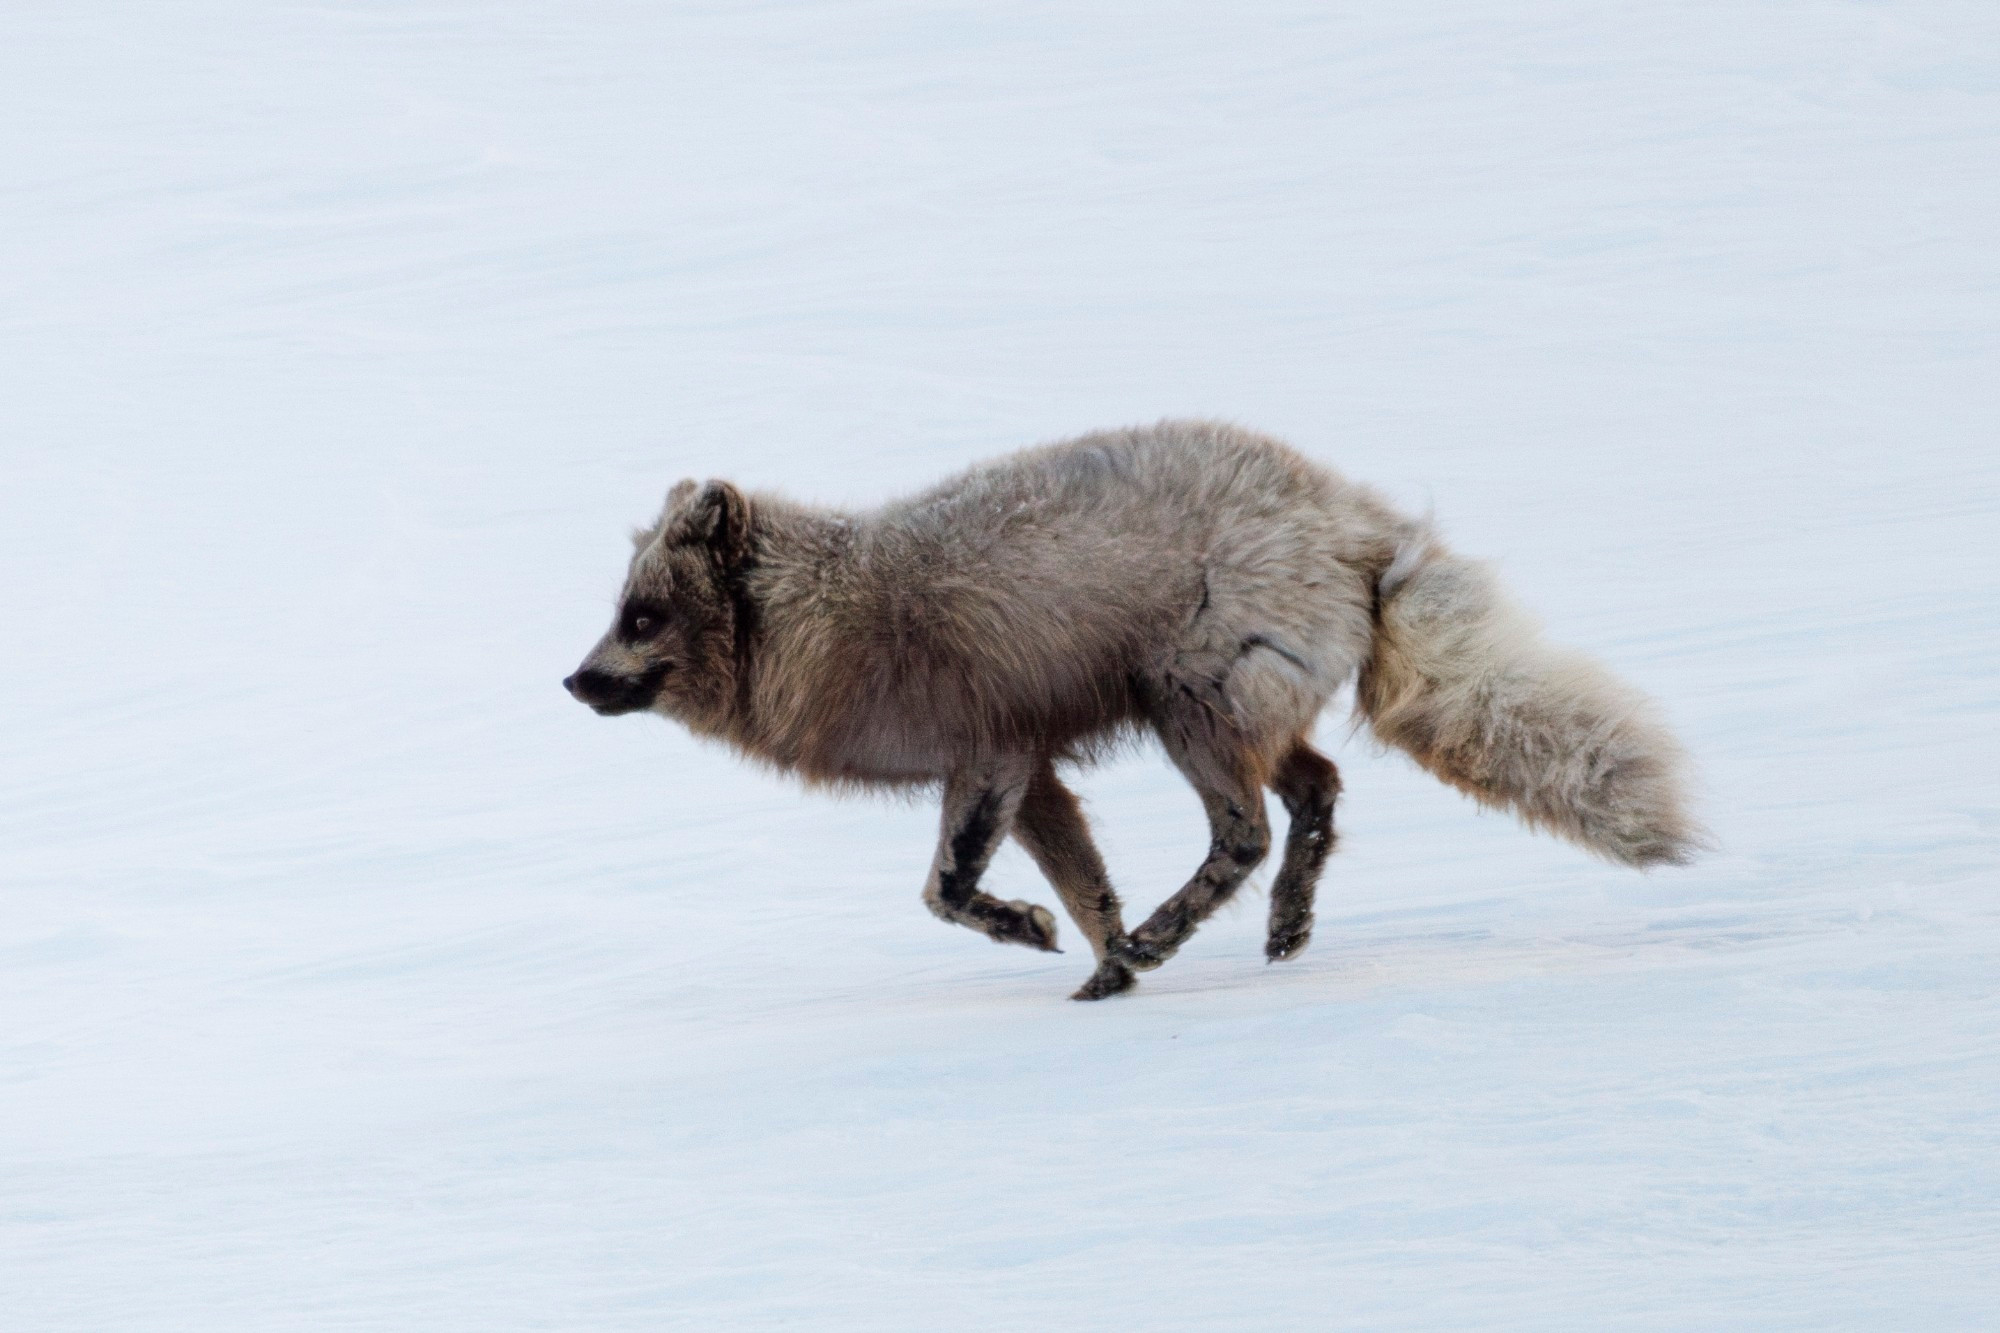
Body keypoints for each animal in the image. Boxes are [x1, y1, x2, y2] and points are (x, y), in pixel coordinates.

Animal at [568, 420, 1704, 992]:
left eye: (640, 615)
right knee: (1319, 793)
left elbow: (946, 890)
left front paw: (1050, 937)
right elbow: (1082, 892)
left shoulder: (990, 758)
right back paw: (1272, 928)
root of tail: (1350, 517)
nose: (572, 682)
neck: (835, 613)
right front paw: (1103, 967)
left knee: (1245, 833)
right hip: (1235, 713)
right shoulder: (1028, 774)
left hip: (1183, 702)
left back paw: (1174, 930)